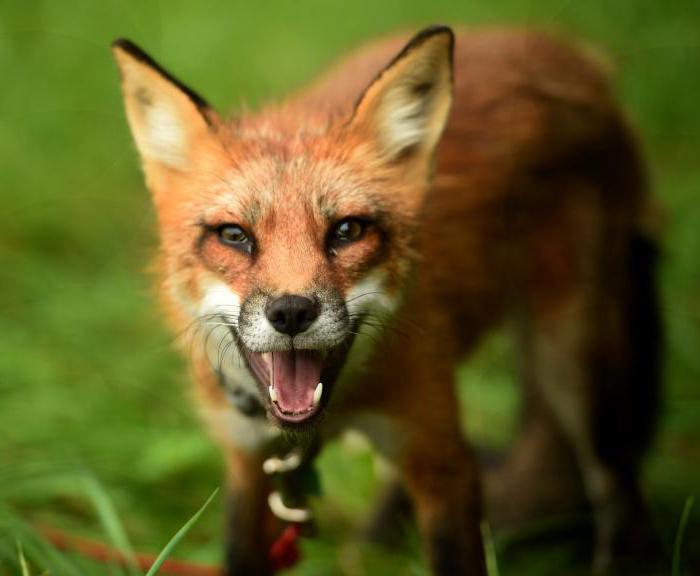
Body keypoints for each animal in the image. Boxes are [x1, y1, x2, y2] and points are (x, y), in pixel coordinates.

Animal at [113, 25, 660, 576]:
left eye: (347, 230)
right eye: (234, 235)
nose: (292, 312)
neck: (327, 417)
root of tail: (559, 45)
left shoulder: (441, 457)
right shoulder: (248, 461)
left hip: (578, 369)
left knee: (619, 496)